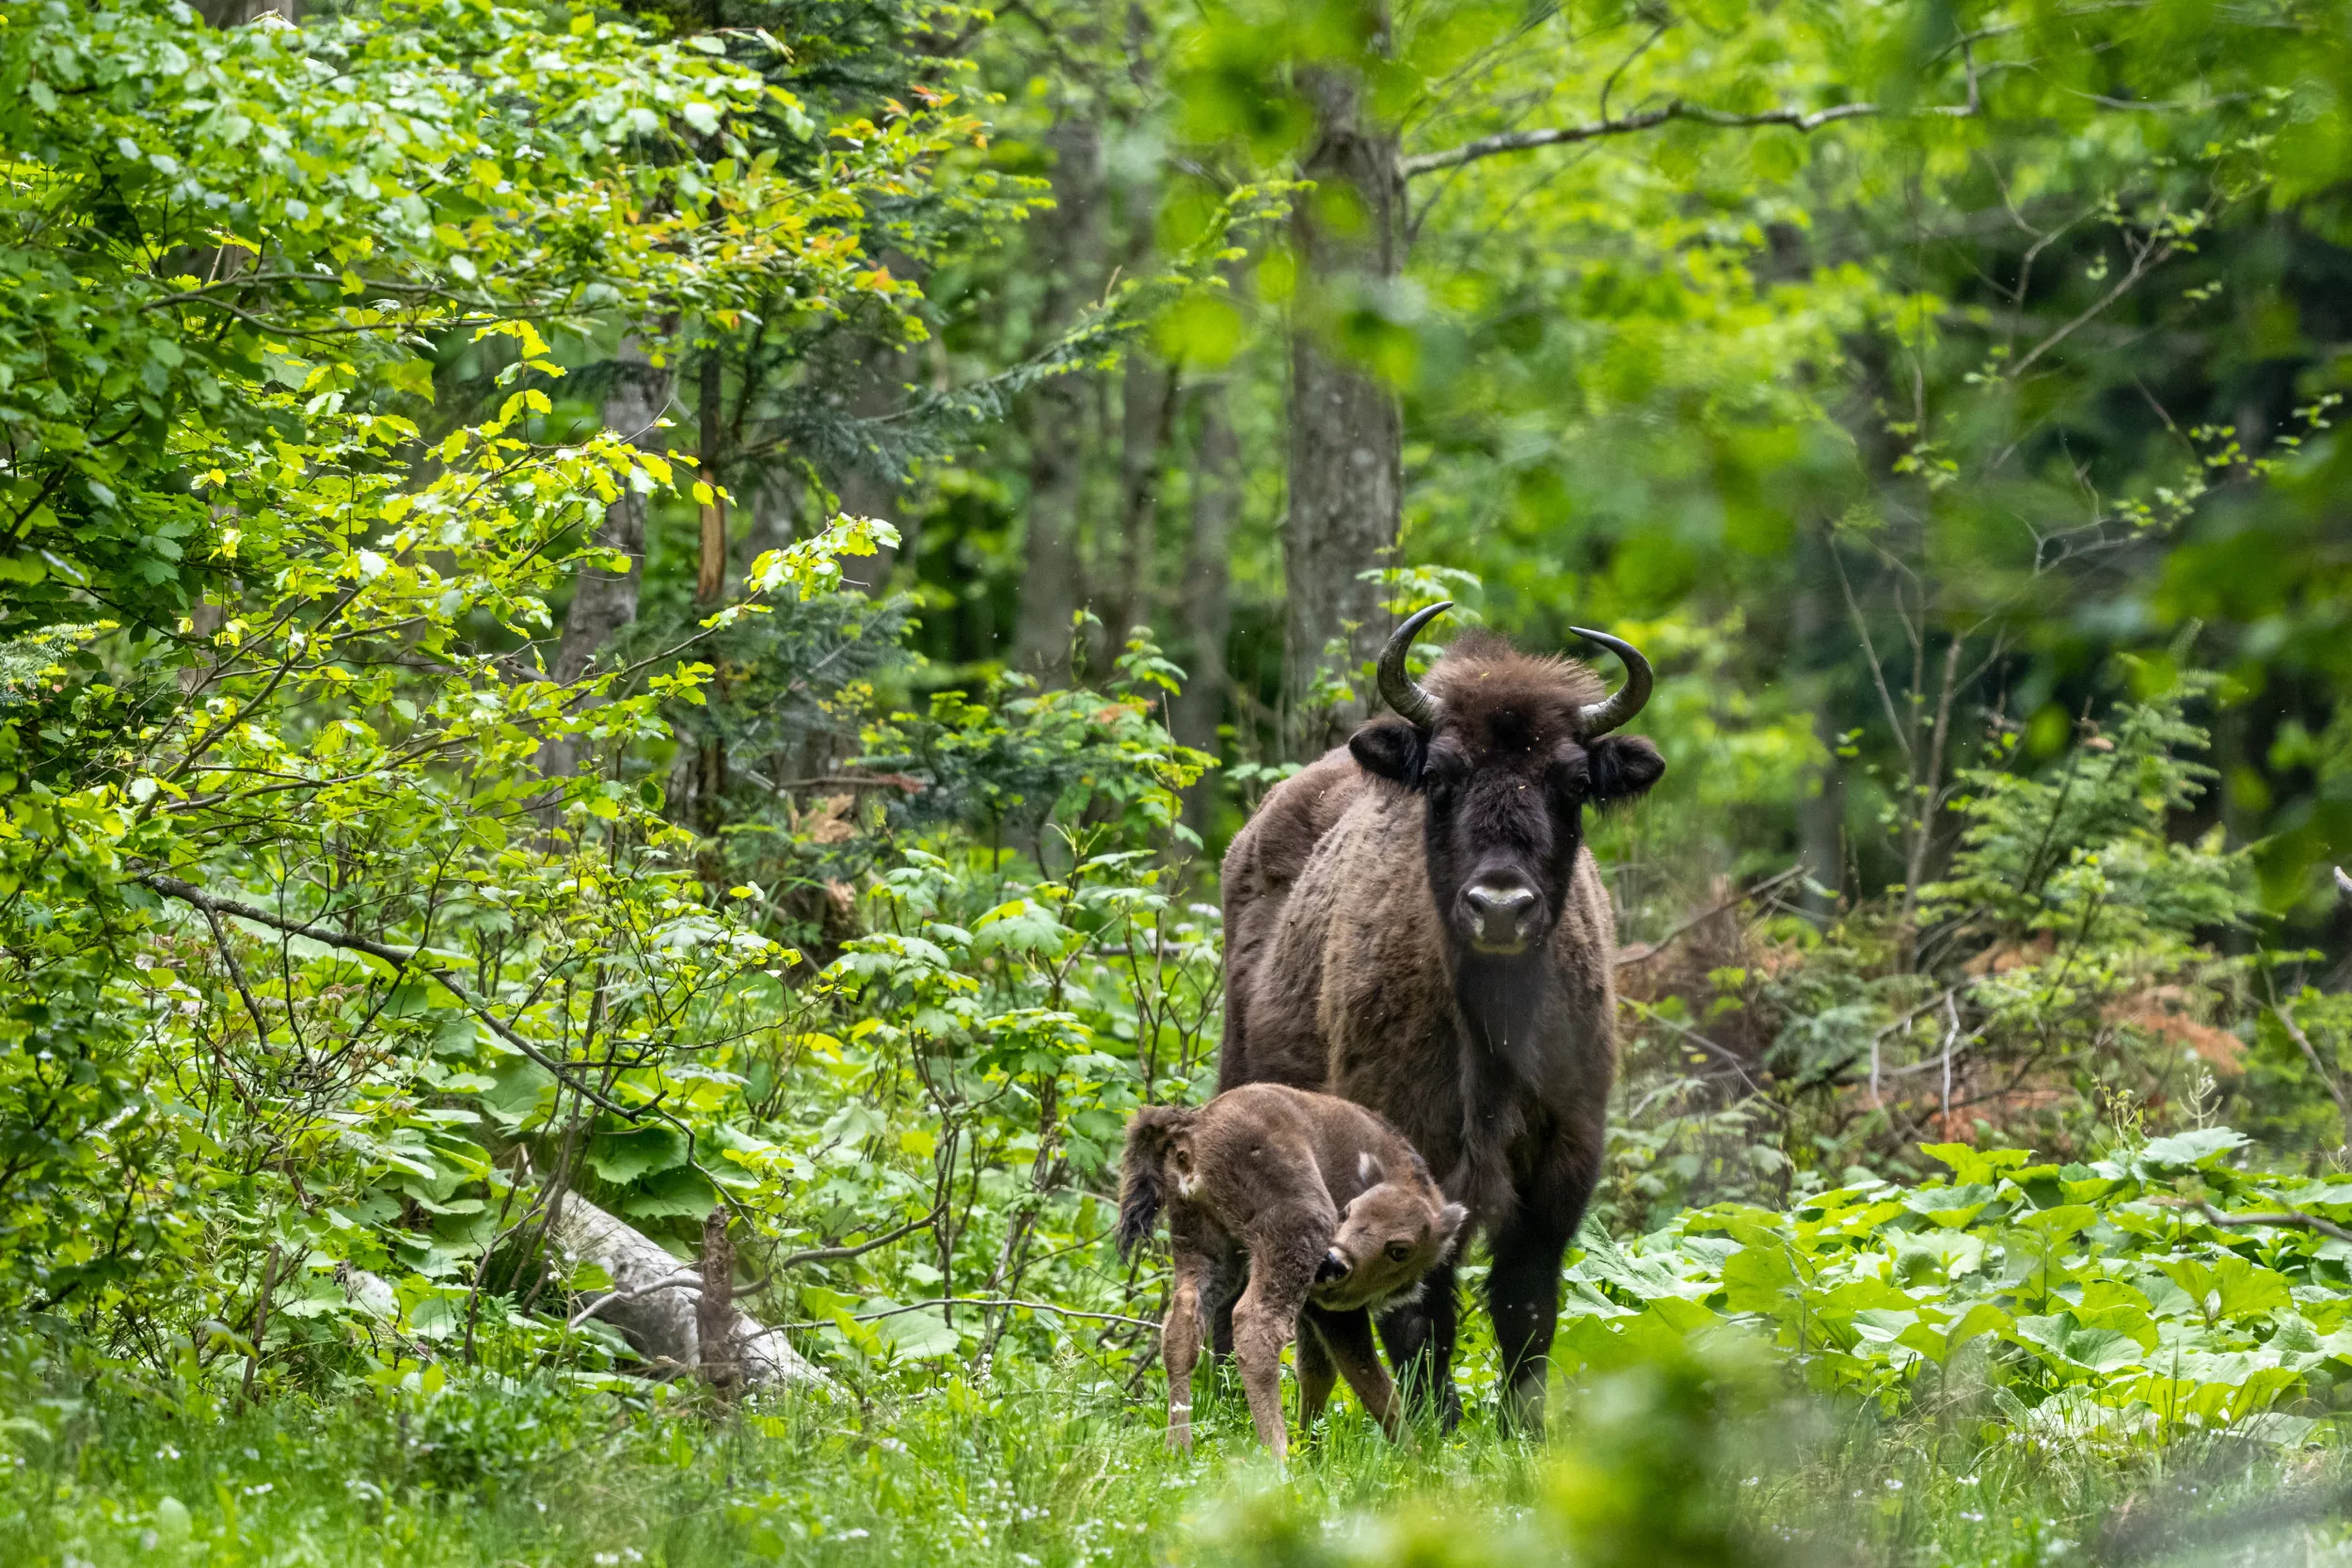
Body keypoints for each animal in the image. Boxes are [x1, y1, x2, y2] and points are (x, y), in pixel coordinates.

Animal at [1217, 602, 1663, 1430]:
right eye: (1441, 775)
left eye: (1574, 781)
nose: (1501, 905)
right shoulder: (1411, 1148)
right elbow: (1419, 1304)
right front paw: (1435, 1419)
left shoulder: (1563, 1162)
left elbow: (1526, 1302)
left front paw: (1521, 1425)